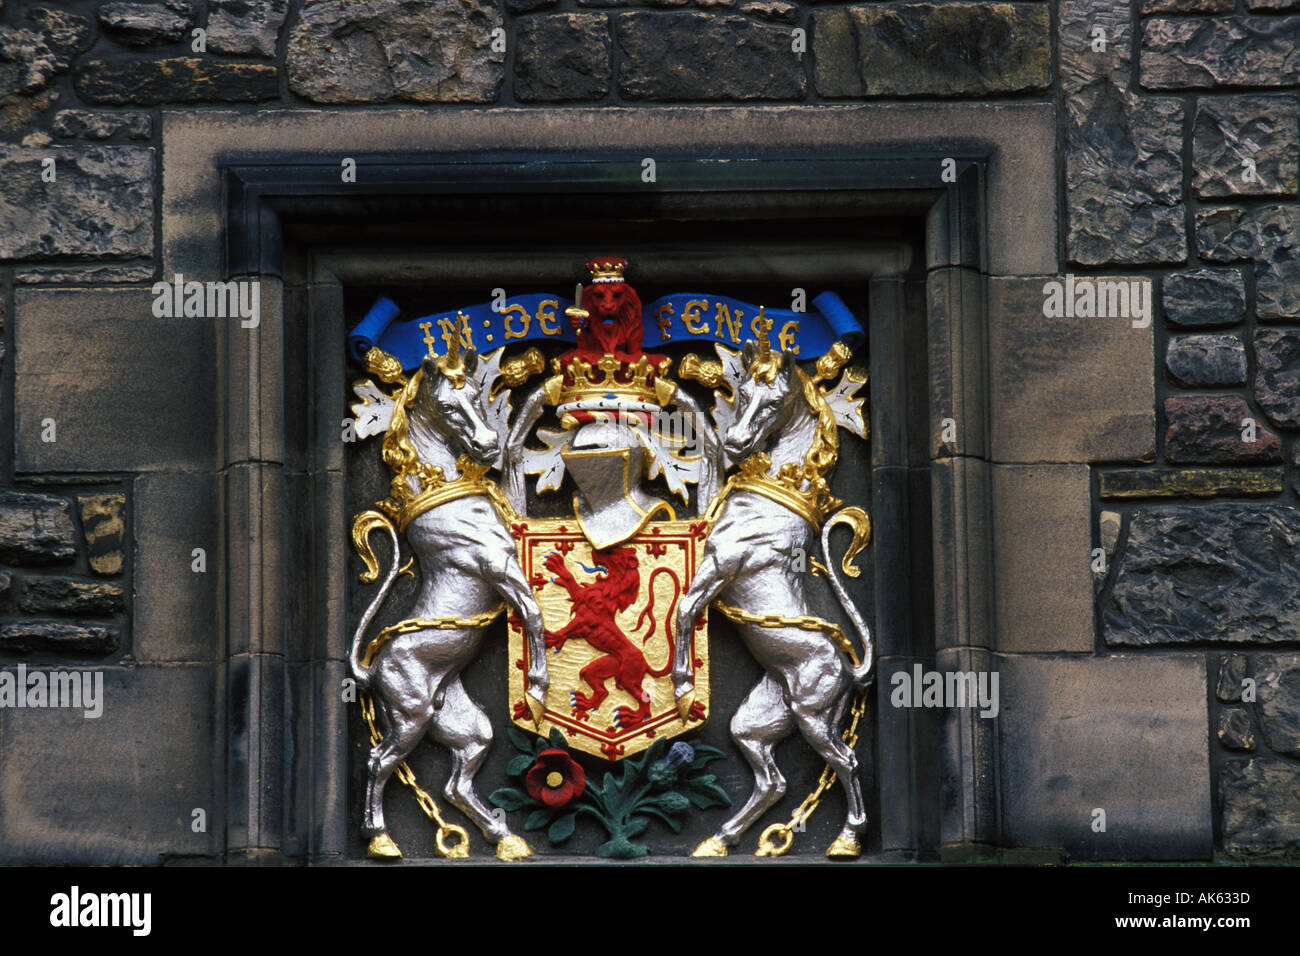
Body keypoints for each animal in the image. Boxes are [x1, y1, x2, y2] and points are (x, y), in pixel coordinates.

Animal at [543, 548, 681, 728]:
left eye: (612, 553)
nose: (595, 552)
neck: (607, 591)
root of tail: (645, 663)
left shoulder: (585, 619)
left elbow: (567, 627)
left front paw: (551, 637)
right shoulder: (583, 602)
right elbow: (573, 587)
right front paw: (556, 564)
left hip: (628, 676)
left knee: (645, 697)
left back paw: (630, 717)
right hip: (608, 665)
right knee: (601, 688)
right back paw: (585, 703)